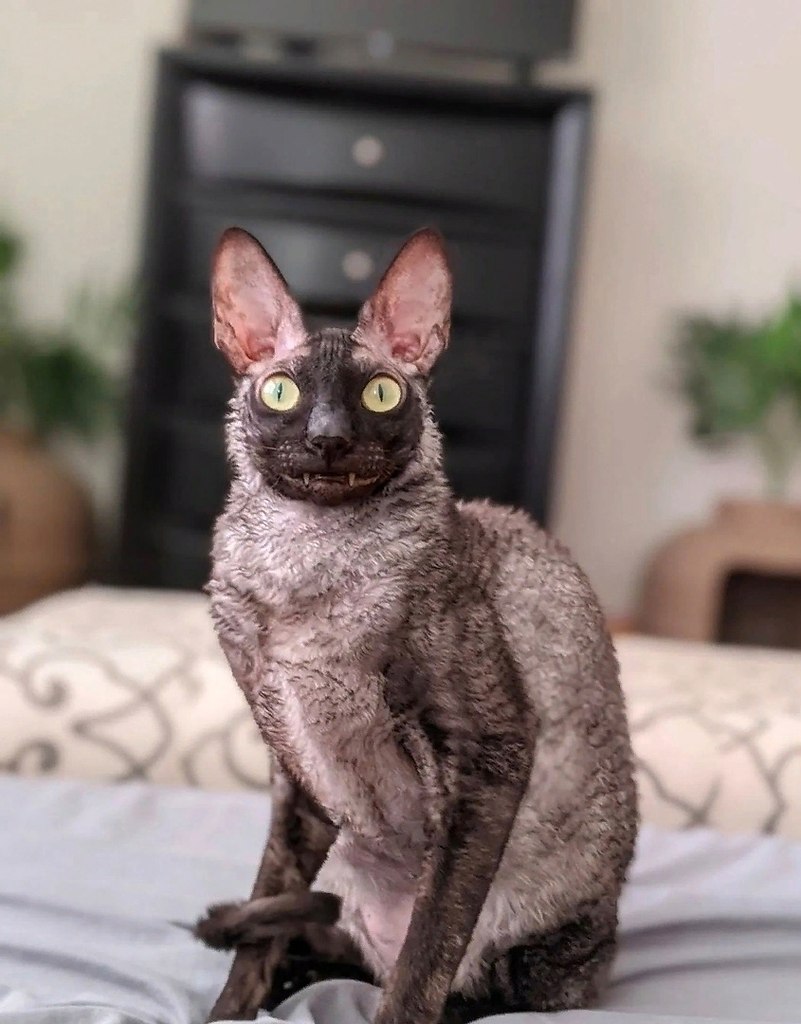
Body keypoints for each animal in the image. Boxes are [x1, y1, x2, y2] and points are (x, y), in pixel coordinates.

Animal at [197, 226, 638, 1024]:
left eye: (380, 393)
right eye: (281, 392)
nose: (329, 437)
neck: (301, 568)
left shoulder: (488, 755)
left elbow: (428, 950)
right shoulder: (295, 777)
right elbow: (257, 934)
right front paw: (230, 1007)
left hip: (539, 948)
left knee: (475, 992)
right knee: (311, 931)